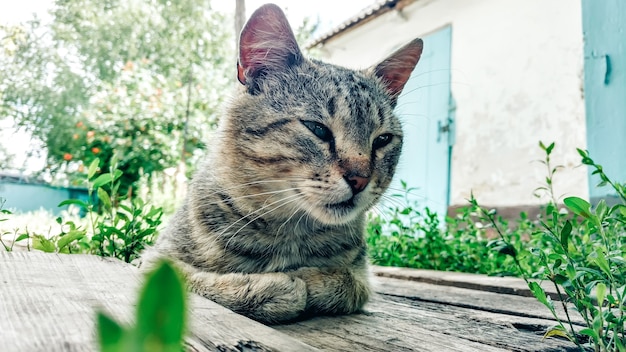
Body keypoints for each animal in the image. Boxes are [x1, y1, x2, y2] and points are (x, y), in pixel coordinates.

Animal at [143, 2, 420, 324]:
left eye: (383, 139)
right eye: (317, 128)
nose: (360, 179)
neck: (290, 229)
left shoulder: (362, 273)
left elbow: (347, 283)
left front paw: (310, 279)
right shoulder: (154, 260)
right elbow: (199, 281)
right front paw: (273, 287)